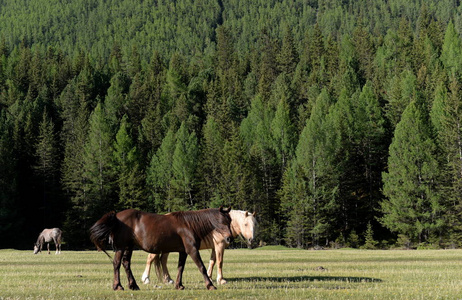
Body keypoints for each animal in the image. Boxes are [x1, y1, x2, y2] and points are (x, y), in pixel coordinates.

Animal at [90, 206, 233, 290]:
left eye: (230, 221)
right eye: (222, 221)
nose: (229, 239)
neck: (189, 225)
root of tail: (116, 217)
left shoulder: (183, 252)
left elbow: (180, 268)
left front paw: (179, 285)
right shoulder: (192, 250)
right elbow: (201, 267)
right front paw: (210, 285)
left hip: (128, 246)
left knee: (126, 264)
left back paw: (133, 285)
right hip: (121, 247)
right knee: (117, 263)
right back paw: (118, 286)